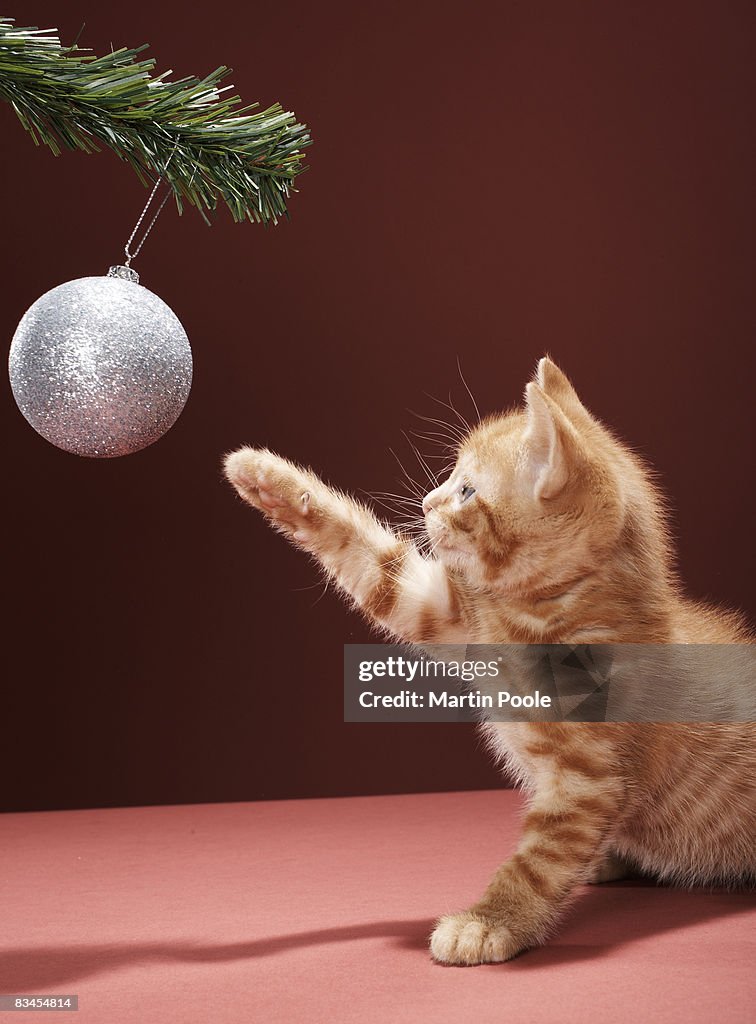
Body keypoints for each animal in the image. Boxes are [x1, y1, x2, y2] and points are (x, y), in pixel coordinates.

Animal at [223, 358, 753, 958]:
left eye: (467, 489)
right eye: (452, 480)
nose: (428, 503)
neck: (535, 623)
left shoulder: (588, 782)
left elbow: (538, 863)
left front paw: (489, 921)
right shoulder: (455, 616)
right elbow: (371, 558)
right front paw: (263, 476)